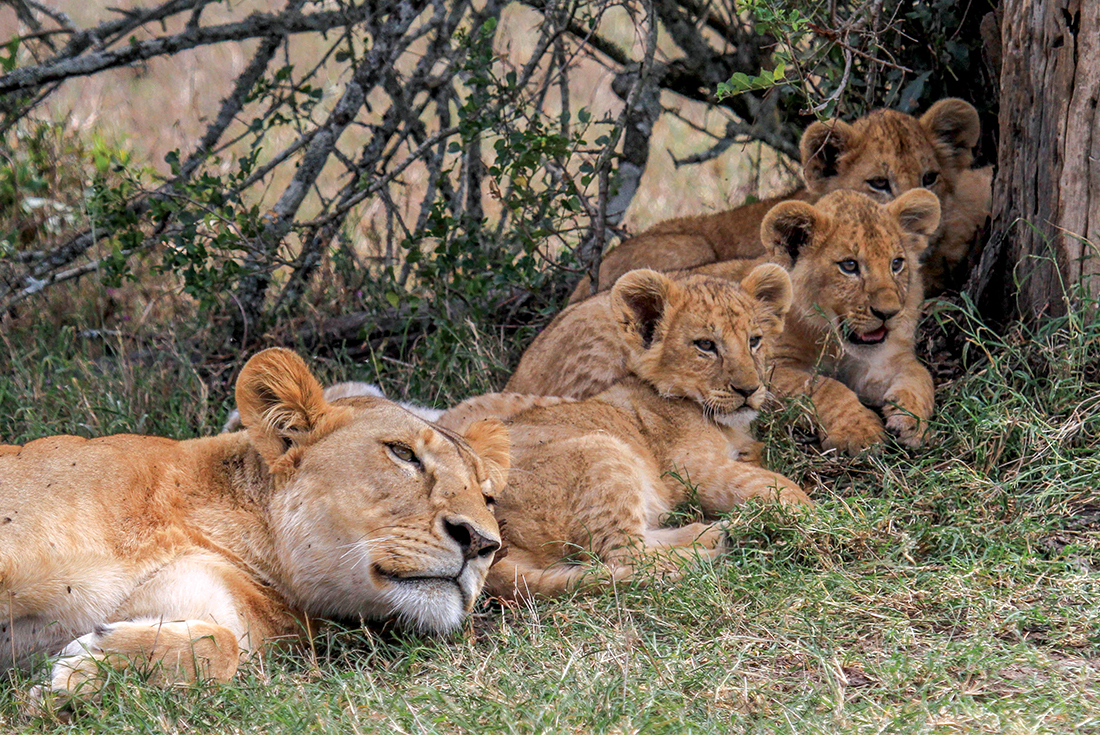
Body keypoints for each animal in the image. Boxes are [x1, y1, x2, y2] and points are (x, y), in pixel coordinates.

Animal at [1, 348, 509, 704]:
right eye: (402, 453)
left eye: (488, 496)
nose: (481, 543)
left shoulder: (209, 603)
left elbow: (221, 646)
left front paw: (79, 677)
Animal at [436, 265, 810, 599]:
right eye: (705, 345)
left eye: (754, 341)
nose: (749, 389)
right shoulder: (690, 469)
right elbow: (772, 484)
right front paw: (811, 515)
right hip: (603, 452)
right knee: (627, 555)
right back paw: (714, 550)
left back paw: (717, 532)